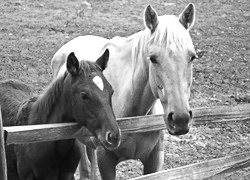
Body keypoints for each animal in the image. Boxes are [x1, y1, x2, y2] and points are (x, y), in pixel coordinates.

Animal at [50, 3, 196, 180]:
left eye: (192, 57)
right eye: (153, 58)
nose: (180, 119)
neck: (136, 118)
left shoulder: (154, 159)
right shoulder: (106, 160)